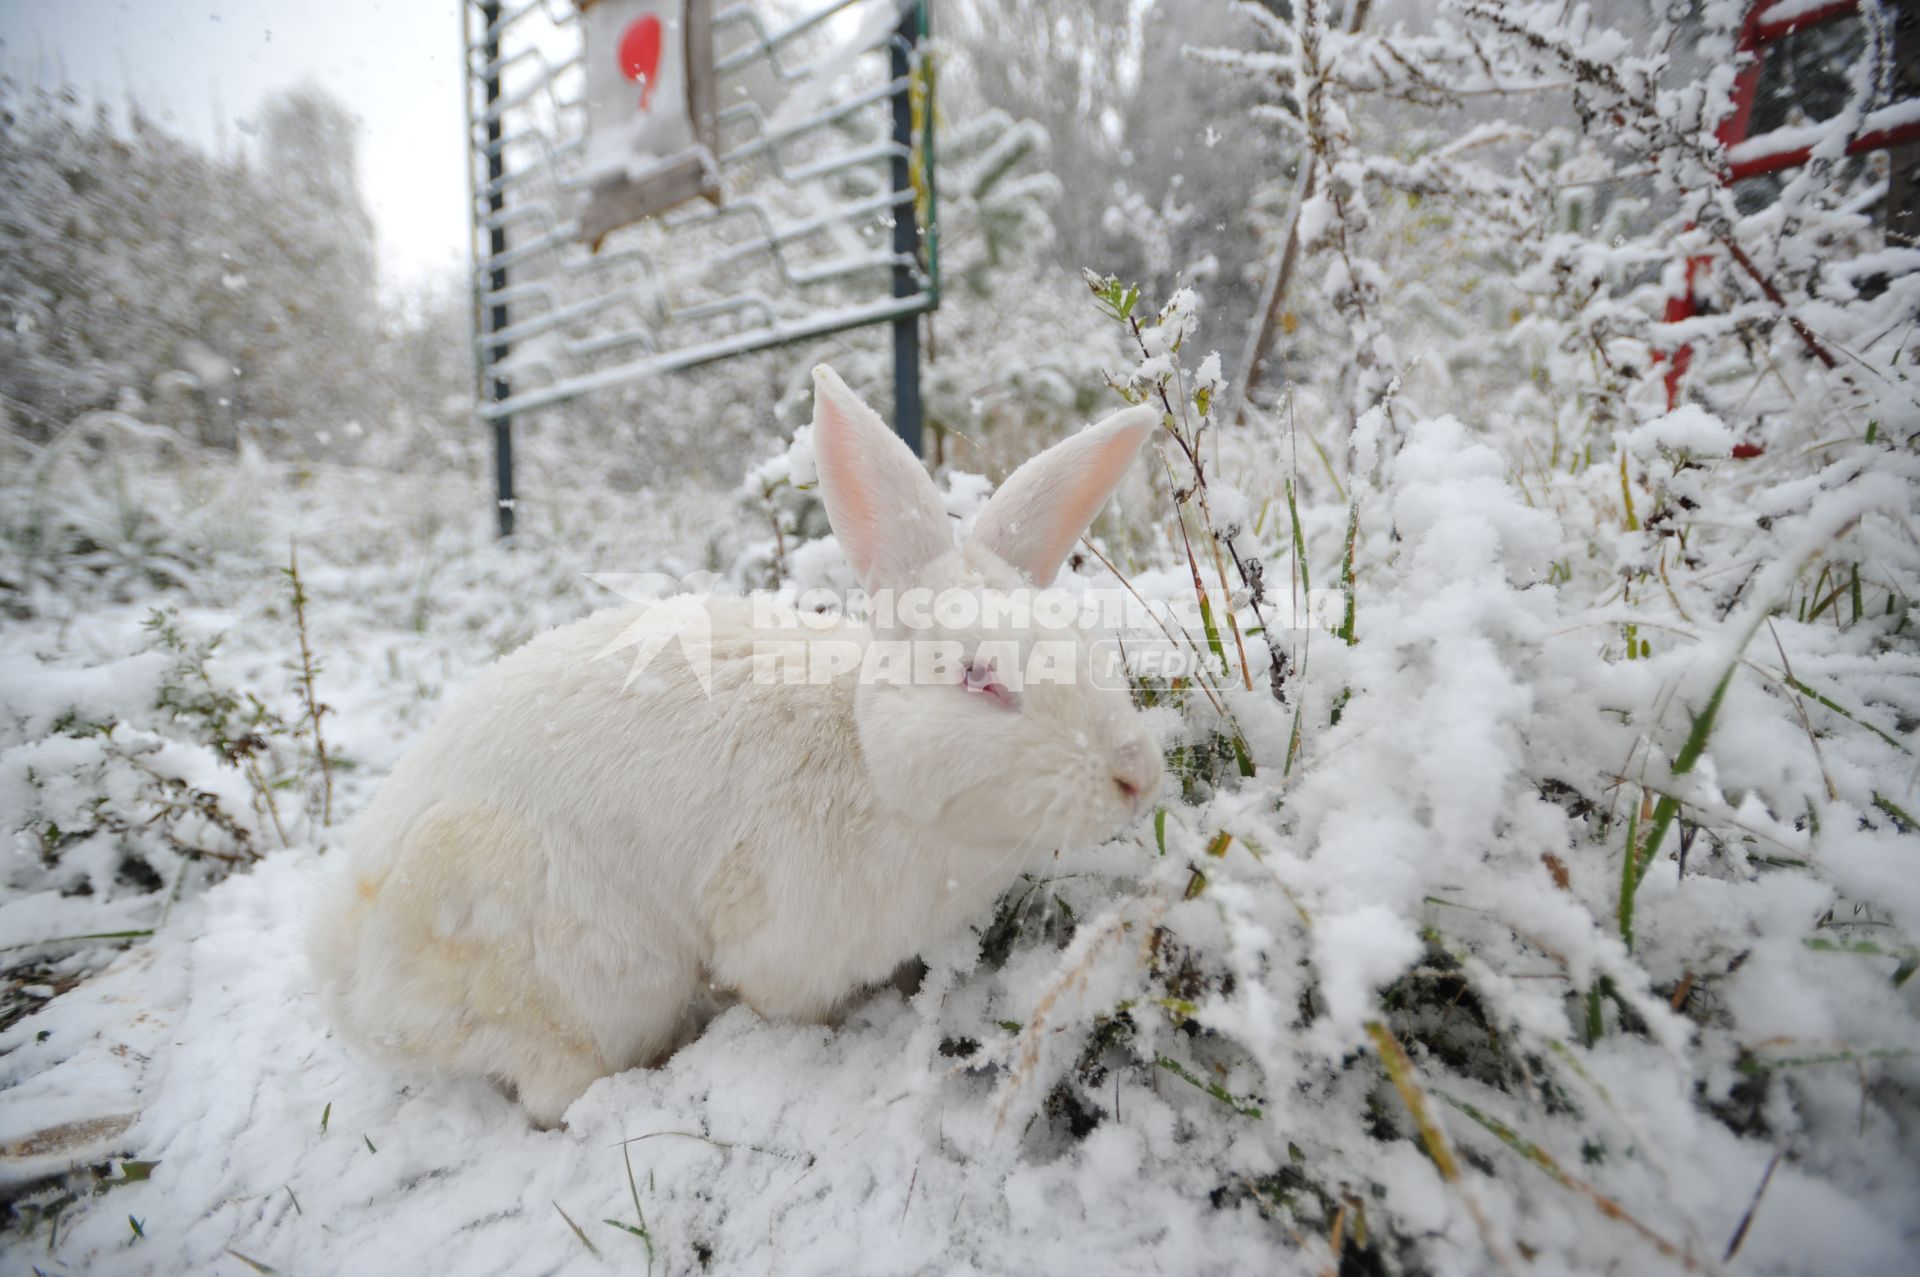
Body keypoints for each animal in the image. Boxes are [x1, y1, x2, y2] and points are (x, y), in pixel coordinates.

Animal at [307, 362, 1159, 1121]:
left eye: (1085, 643)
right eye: (980, 679)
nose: (1137, 776)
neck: (871, 757)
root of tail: (354, 997)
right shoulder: (788, 943)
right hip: (583, 967)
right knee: (558, 1089)